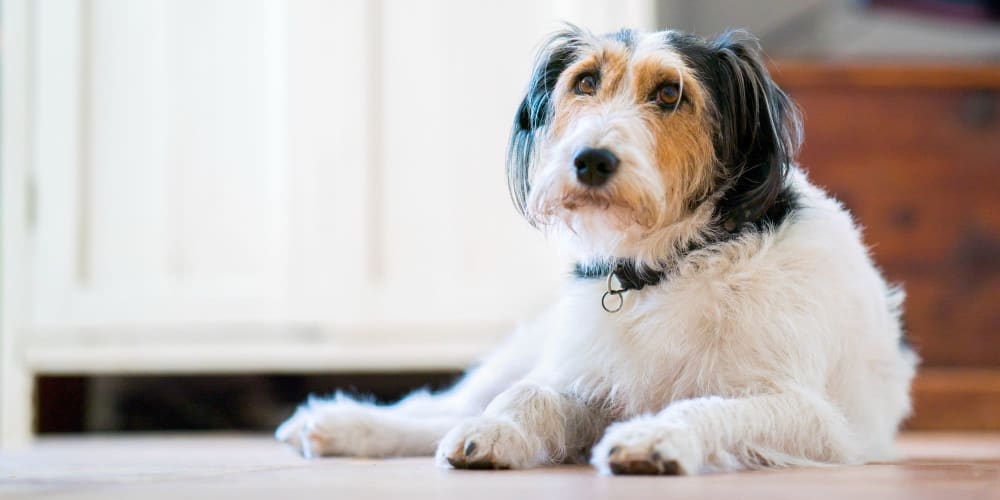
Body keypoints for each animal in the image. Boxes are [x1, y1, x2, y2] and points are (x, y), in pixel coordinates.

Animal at [278, 27, 916, 476]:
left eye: (670, 93)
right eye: (585, 82)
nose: (589, 160)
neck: (667, 267)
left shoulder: (810, 414)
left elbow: (710, 407)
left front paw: (655, 438)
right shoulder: (587, 376)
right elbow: (531, 395)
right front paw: (497, 433)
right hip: (534, 347)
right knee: (448, 401)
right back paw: (339, 423)